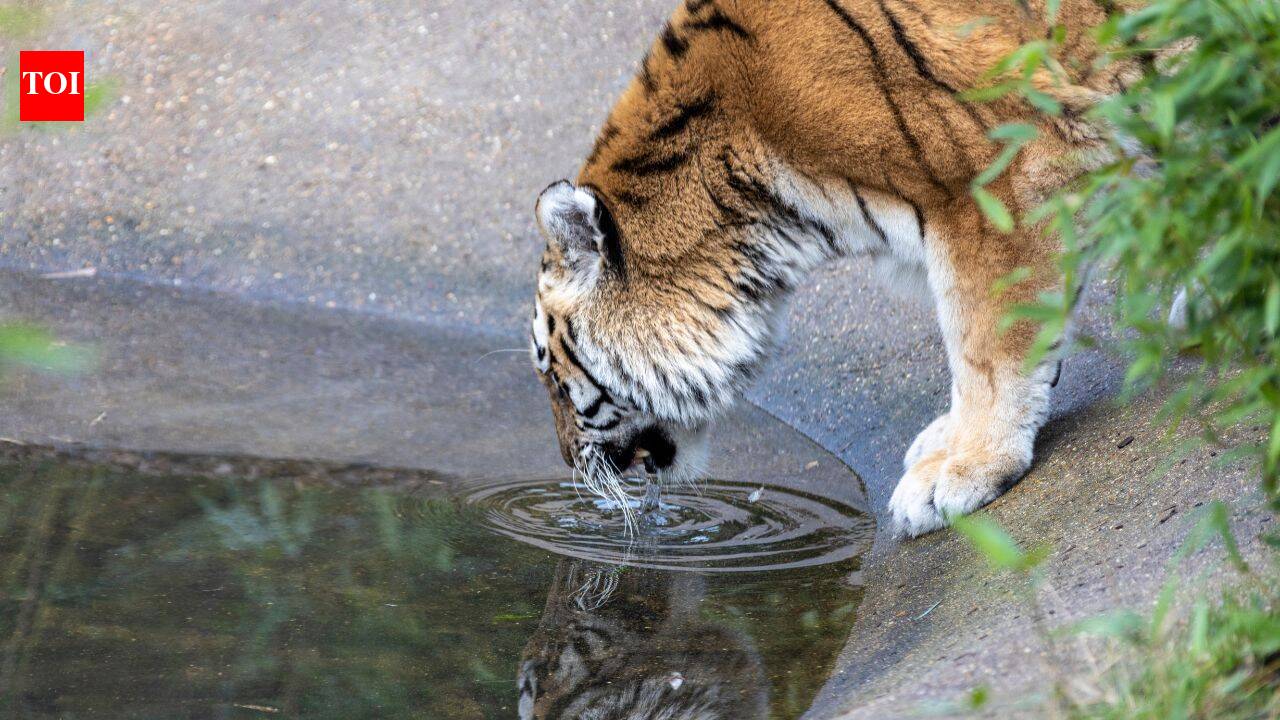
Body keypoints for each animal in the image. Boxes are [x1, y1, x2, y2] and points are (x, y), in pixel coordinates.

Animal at [528, 0, 1149, 537]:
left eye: (554, 377)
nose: (567, 463)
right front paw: (947, 441)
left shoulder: (998, 171)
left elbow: (986, 342)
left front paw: (966, 468)